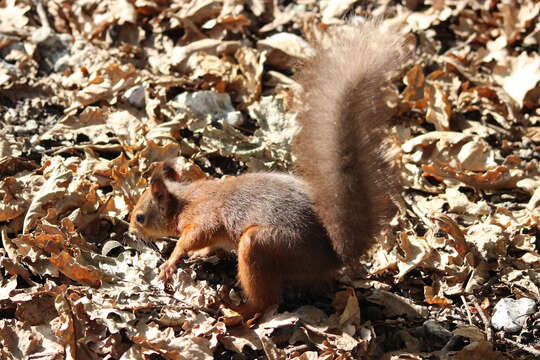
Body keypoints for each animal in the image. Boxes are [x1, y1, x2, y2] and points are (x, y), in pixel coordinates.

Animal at [129, 21, 402, 316]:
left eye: (141, 217)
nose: (131, 231)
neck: (184, 198)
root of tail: (332, 257)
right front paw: (201, 254)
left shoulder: (203, 216)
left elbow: (194, 236)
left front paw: (173, 260)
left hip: (263, 246)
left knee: (268, 300)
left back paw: (239, 310)